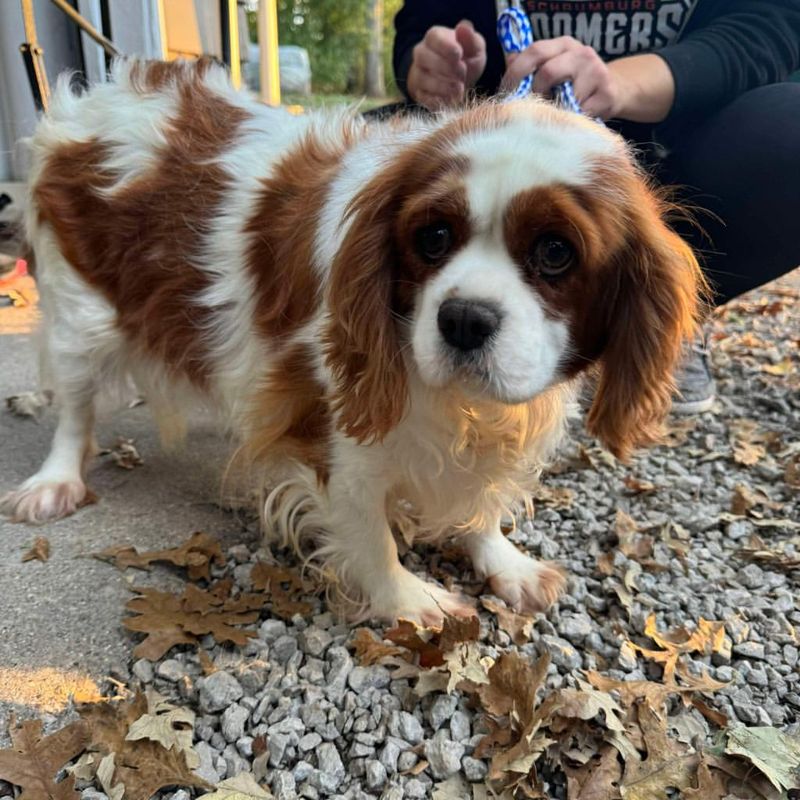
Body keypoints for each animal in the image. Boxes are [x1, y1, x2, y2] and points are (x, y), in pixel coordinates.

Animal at [1, 61, 700, 624]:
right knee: (75, 409)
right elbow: (368, 531)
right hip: (80, 319)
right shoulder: (330, 427)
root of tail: (95, 94)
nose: (463, 318)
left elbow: (481, 502)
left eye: (556, 252)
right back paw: (56, 481)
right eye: (432, 237)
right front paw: (409, 600)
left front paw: (503, 561)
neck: (461, 406)